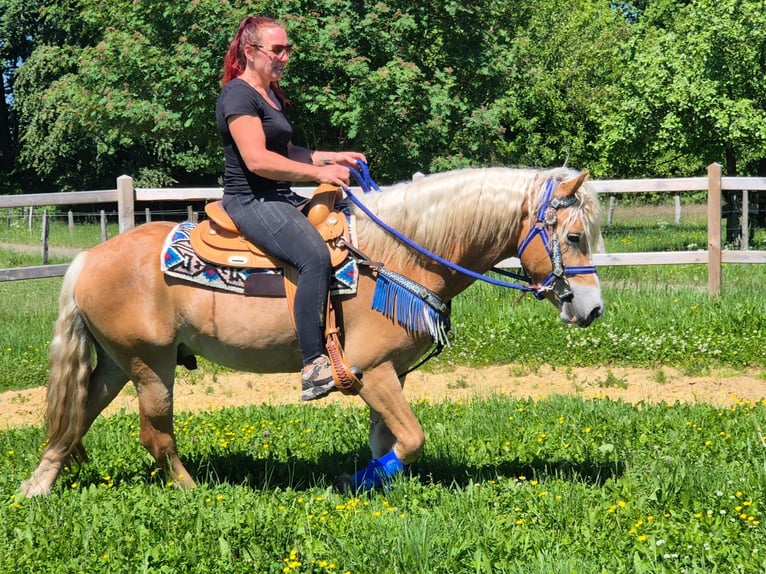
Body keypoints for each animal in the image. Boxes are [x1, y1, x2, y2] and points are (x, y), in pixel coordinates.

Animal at [19, 166, 603, 496]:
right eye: (574, 236)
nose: (592, 308)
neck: (398, 256)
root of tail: (88, 259)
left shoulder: (392, 376)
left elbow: (386, 438)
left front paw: (368, 482)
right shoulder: (372, 372)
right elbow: (412, 438)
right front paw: (359, 482)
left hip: (118, 363)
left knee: (75, 417)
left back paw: (37, 487)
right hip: (150, 364)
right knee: (155, 435)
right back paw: (192, 492)